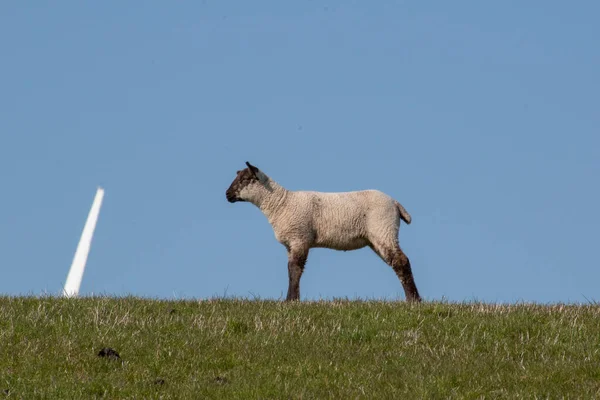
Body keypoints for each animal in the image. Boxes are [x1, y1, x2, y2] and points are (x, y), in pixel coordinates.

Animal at [226, 161, 422, 302]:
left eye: (245, 180)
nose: (227, 194)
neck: (281, 203)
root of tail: (395, 203)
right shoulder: (291, 243)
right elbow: (290, 269)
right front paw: (291, 299)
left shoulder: (300, 237)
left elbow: (295, 269)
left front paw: (291, 301)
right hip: (376, 237)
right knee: (397, 261)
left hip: (383, 228)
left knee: (401, 261)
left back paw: (414, 300)